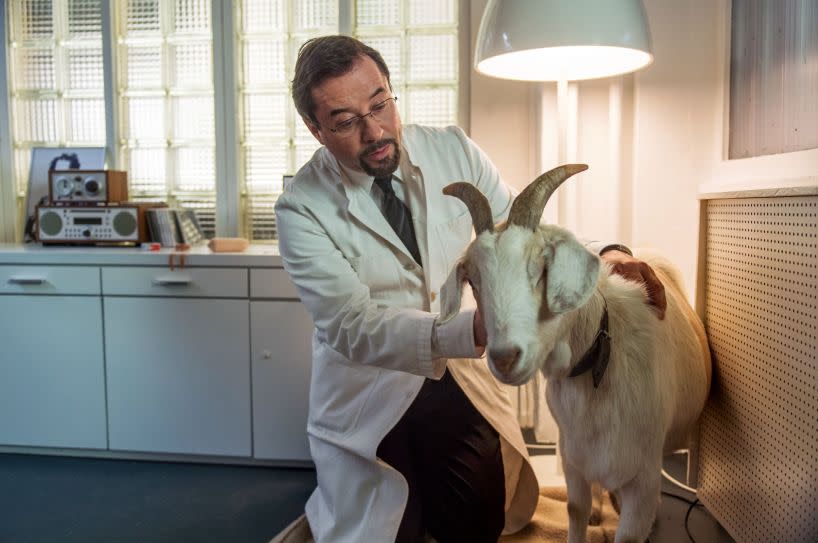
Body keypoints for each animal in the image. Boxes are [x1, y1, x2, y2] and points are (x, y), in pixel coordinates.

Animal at [440, 166, 708, 543]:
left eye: (541, 269)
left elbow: (629, 532)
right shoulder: (573, 460)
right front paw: (590, 513)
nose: (505, 358)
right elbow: (575, 509)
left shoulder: (642, 479)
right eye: (474, 282)